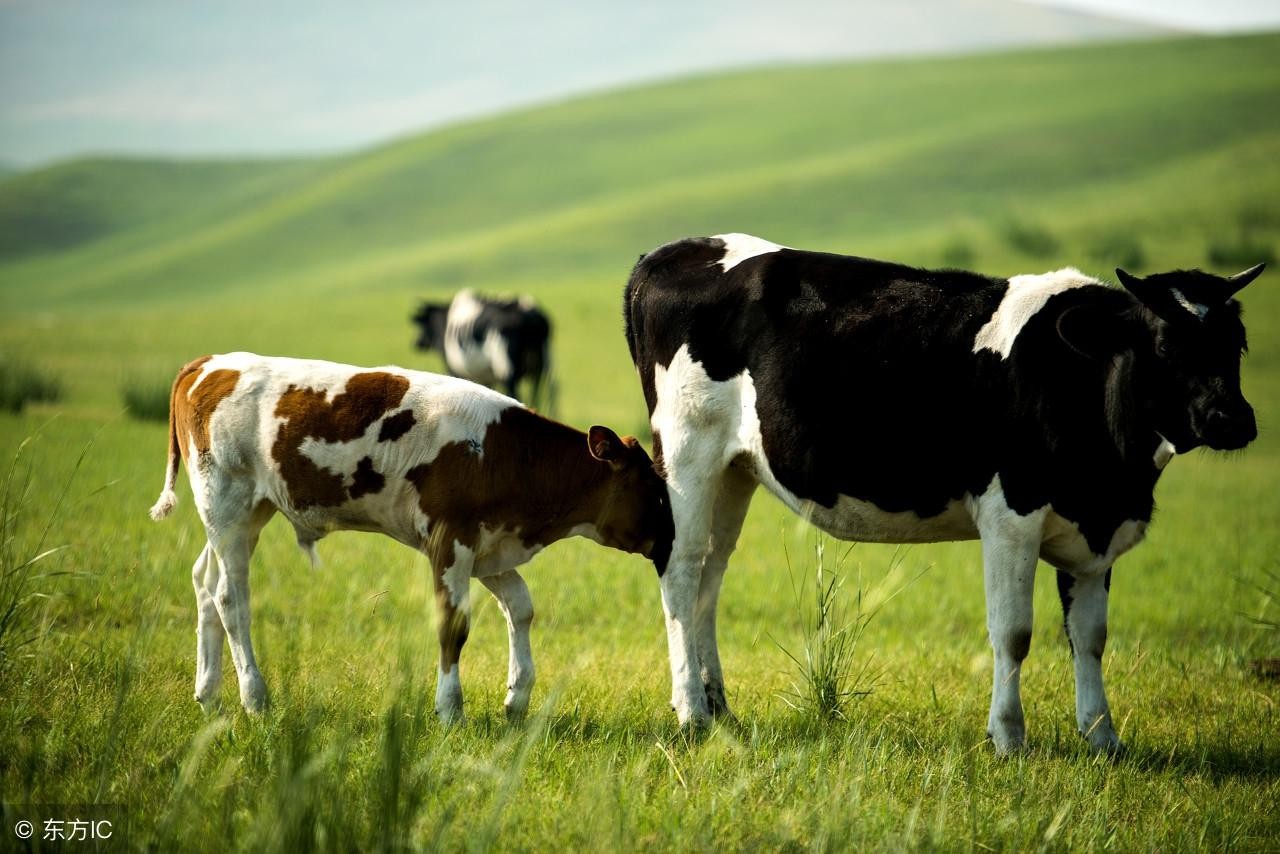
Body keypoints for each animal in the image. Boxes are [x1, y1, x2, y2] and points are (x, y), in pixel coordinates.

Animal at [148, 353, 670, 722]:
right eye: (653, 488)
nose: (669, 540)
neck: (505, 451)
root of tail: (209, 363)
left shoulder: (490, 546)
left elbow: (520, 608)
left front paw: (517, 698)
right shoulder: (450, 540)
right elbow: (453, 625)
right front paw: (450, 710)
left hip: (245, 513)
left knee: (203, 585)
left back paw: (209, 694)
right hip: (227, 502)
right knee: (229, 598)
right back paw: (254, 697)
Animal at [409, 291, 550, 409]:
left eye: (422, 325)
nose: (417, 343)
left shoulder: (453, 370)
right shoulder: (486, 378)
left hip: (507, 368)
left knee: (515, 393)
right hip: (539, 366)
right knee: (536, 393)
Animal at [622, 231, 1259, 752]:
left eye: (1238, 344)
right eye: (1166, 345)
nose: (1232, 418)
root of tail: (670, 251)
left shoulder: (1095, 531)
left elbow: (1091, 637)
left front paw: (1103, 738)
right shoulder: (1010, 516)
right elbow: (1014, 632)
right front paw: (1008, 737)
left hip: (734, 470)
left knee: (710, 574)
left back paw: (719, 709)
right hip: (686, 449)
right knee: (680, 569)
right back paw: (691, 714)